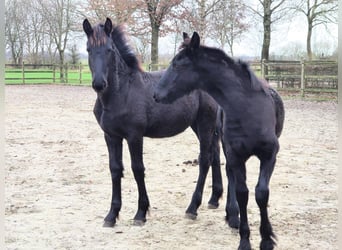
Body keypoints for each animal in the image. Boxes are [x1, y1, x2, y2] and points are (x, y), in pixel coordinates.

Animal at [82, 18, 230, 228]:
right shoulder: (111, 136)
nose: (99, 84)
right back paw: (214, 199)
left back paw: (192, 208)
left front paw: (140, 213)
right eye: (88, 49)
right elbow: (115, 170)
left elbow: (137, 169)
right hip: (200, 125)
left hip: (205, 123)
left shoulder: (134, 136)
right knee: (215, 154)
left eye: (109, 49)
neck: (121, 93)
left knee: (205, 160)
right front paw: (111, 215)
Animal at [154, 31, 284, 250]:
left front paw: (266, 239)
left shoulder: (269, 155)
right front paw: (244, 240)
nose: (156, 94)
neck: (247, 109)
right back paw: (232, 215)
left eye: (179, 64)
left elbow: (261, 193)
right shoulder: (235, 155)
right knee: (230, 174)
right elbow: (242, 193)